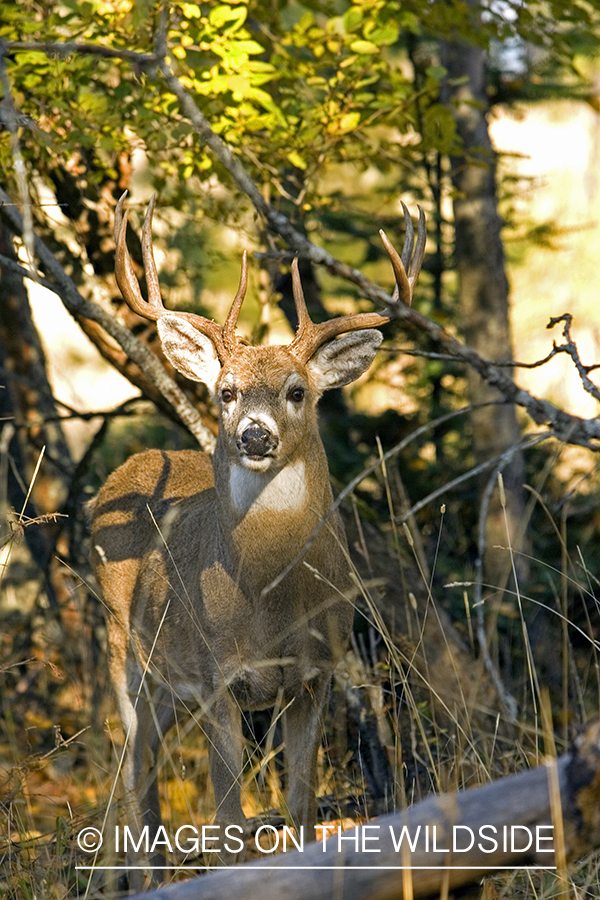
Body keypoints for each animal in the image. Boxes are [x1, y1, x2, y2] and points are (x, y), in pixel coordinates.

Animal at [89, 193, 424, 876]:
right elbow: (227, 823)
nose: (254, 435)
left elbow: (300, 806)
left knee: (149, 775)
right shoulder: (220, 677)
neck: (267, 596)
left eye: (297, 390)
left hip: (171, 688)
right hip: (123, 654)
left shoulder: (316, 672)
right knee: (133, 773)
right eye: (226, 391)